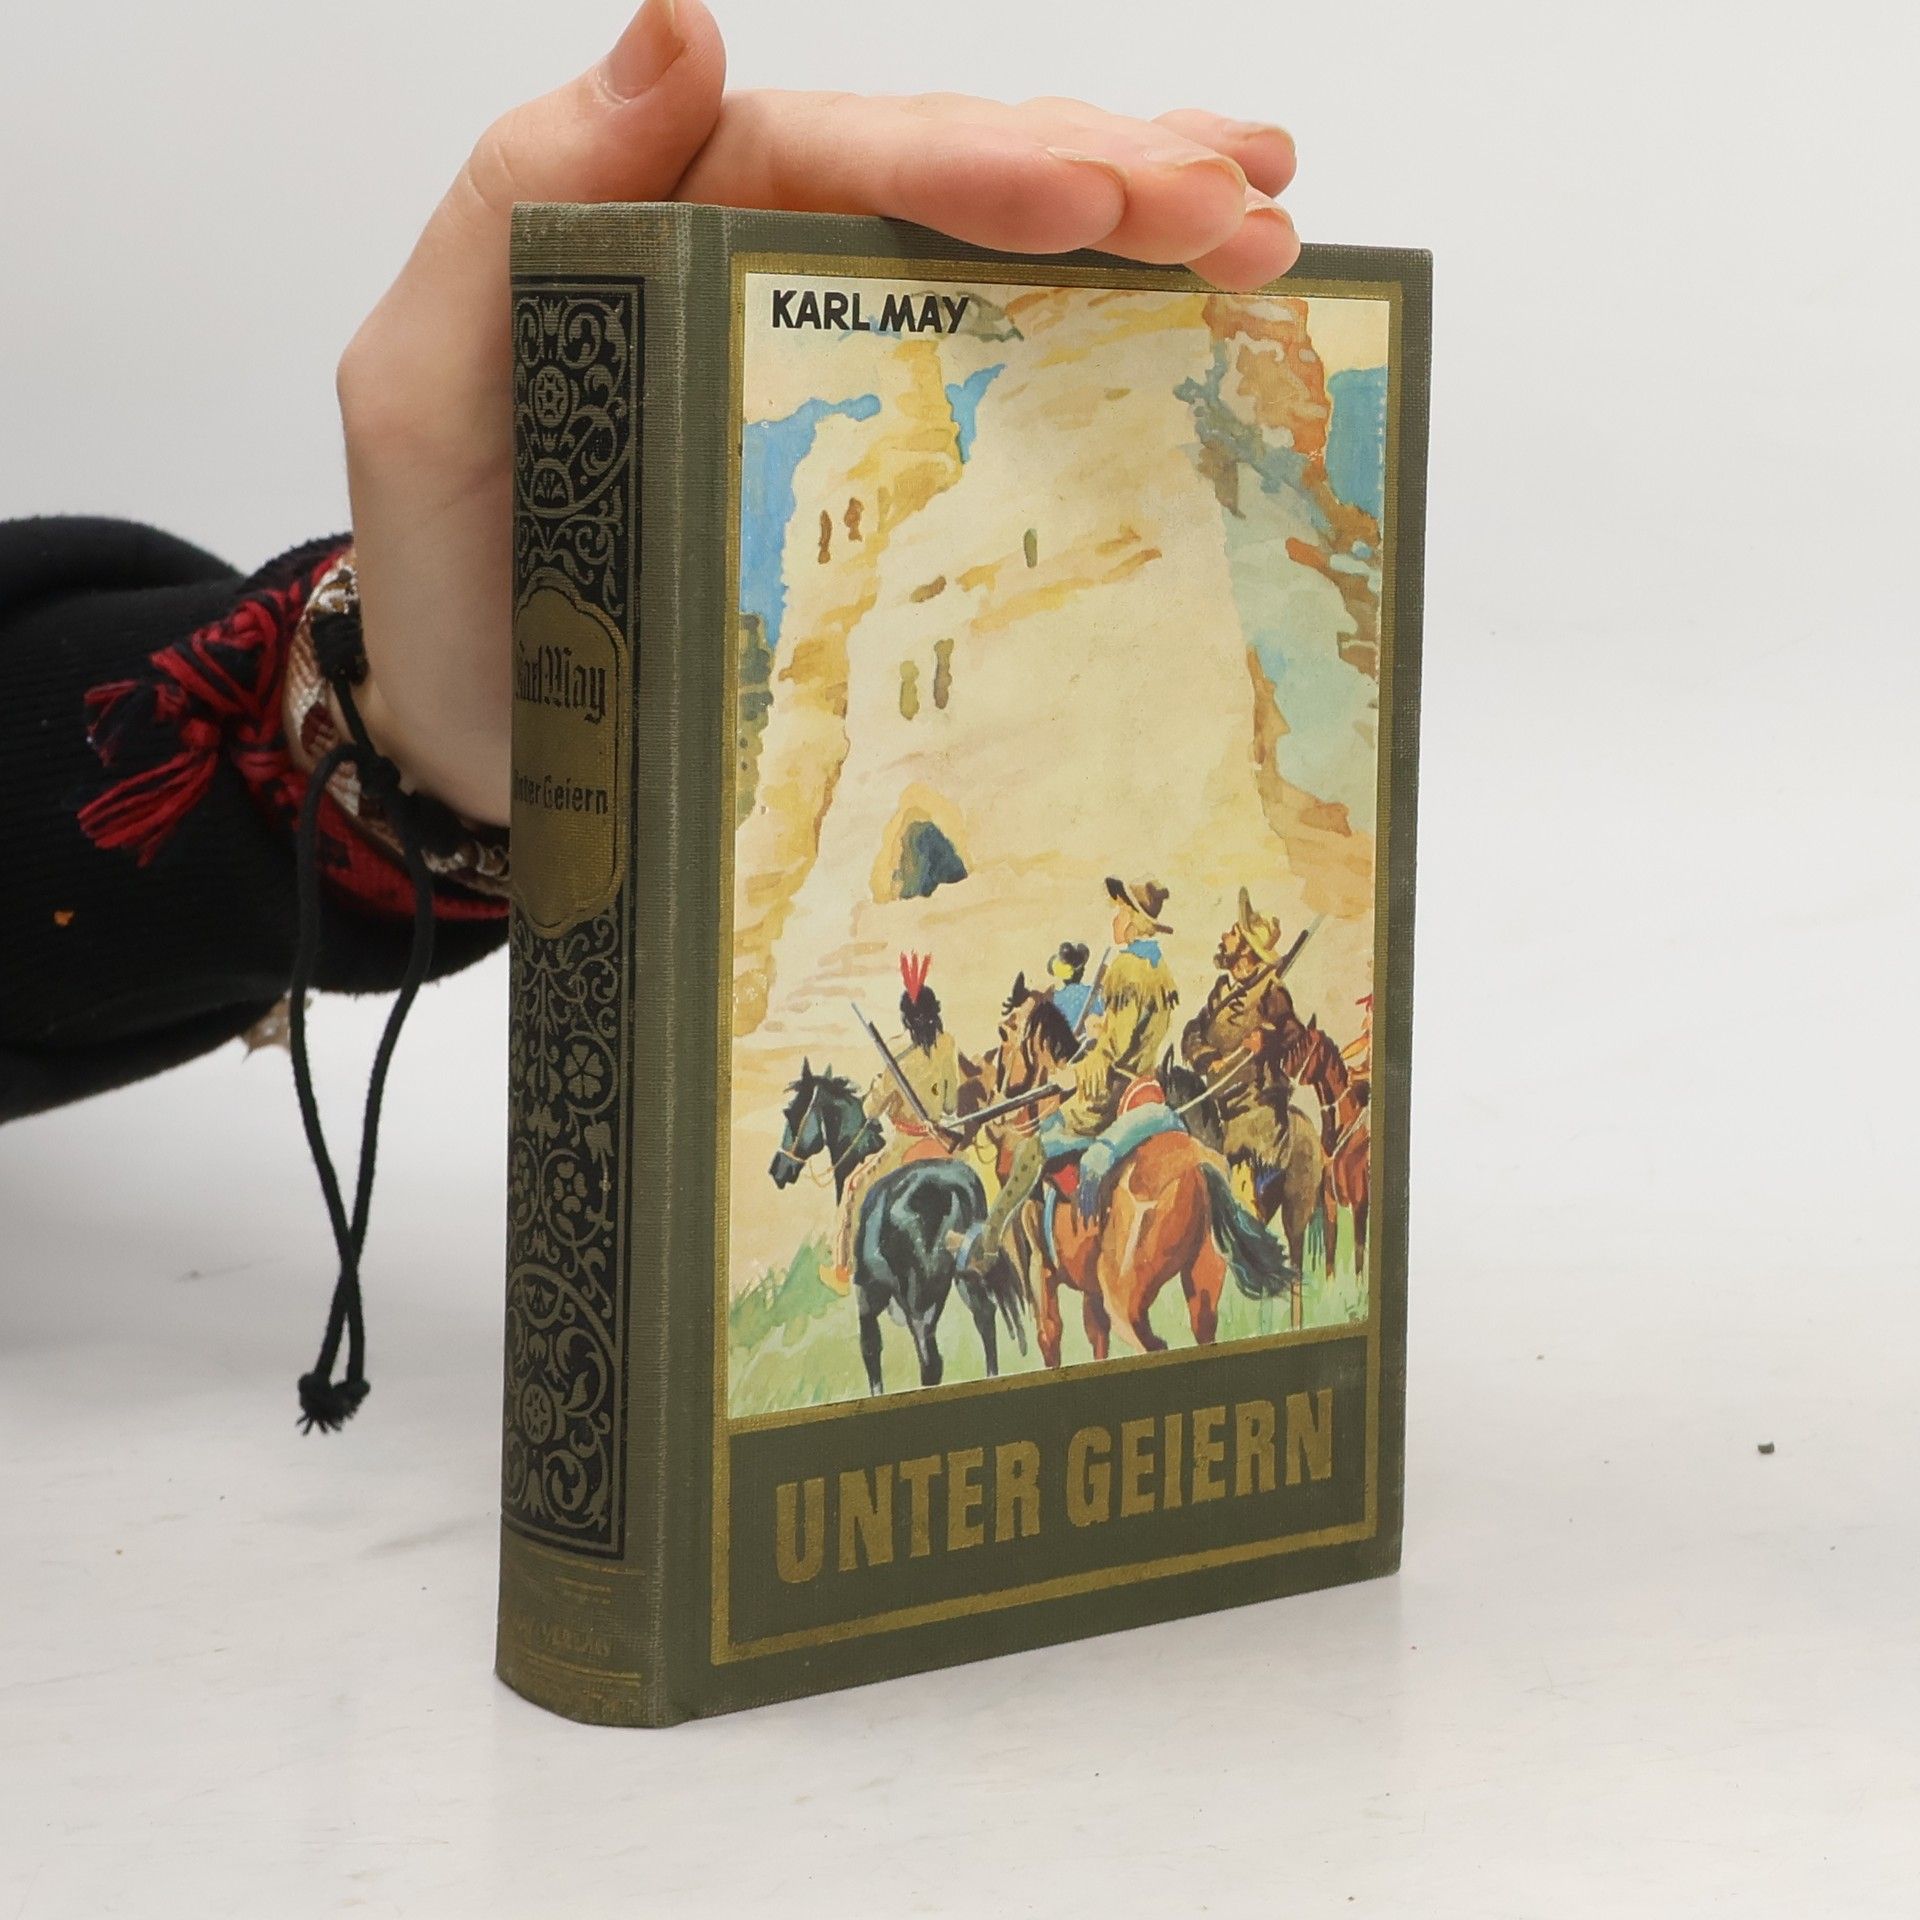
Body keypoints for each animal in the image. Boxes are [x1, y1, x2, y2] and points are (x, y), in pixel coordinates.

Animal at [767, 1061, 1025, 1394]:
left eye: (791, 1113)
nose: (778, 1169)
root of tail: (952, 1187)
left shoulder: (867, 1297)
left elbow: (870, 1352)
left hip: (920, 1303)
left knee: (930, 1360)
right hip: (966, 1279)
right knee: (985, 1320)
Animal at [989, 986, 1294, 1367]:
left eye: (1004, 1033)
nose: (1000, 1088)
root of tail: (1197, 1168)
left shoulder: (1043, 1271)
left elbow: (1050, 1336)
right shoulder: (1089, 1287)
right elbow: (1096, 1336)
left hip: (1125, 1297)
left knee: (1152, 1344)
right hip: (1203, 1280)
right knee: (1202, 1330)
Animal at [1278, 1018, 1370, 1280]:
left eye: (1303, 1046)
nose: (1281, 1079)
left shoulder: (1361, 1205)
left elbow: (1359, 1259)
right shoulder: (1330, 1203)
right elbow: (1330, 1257)